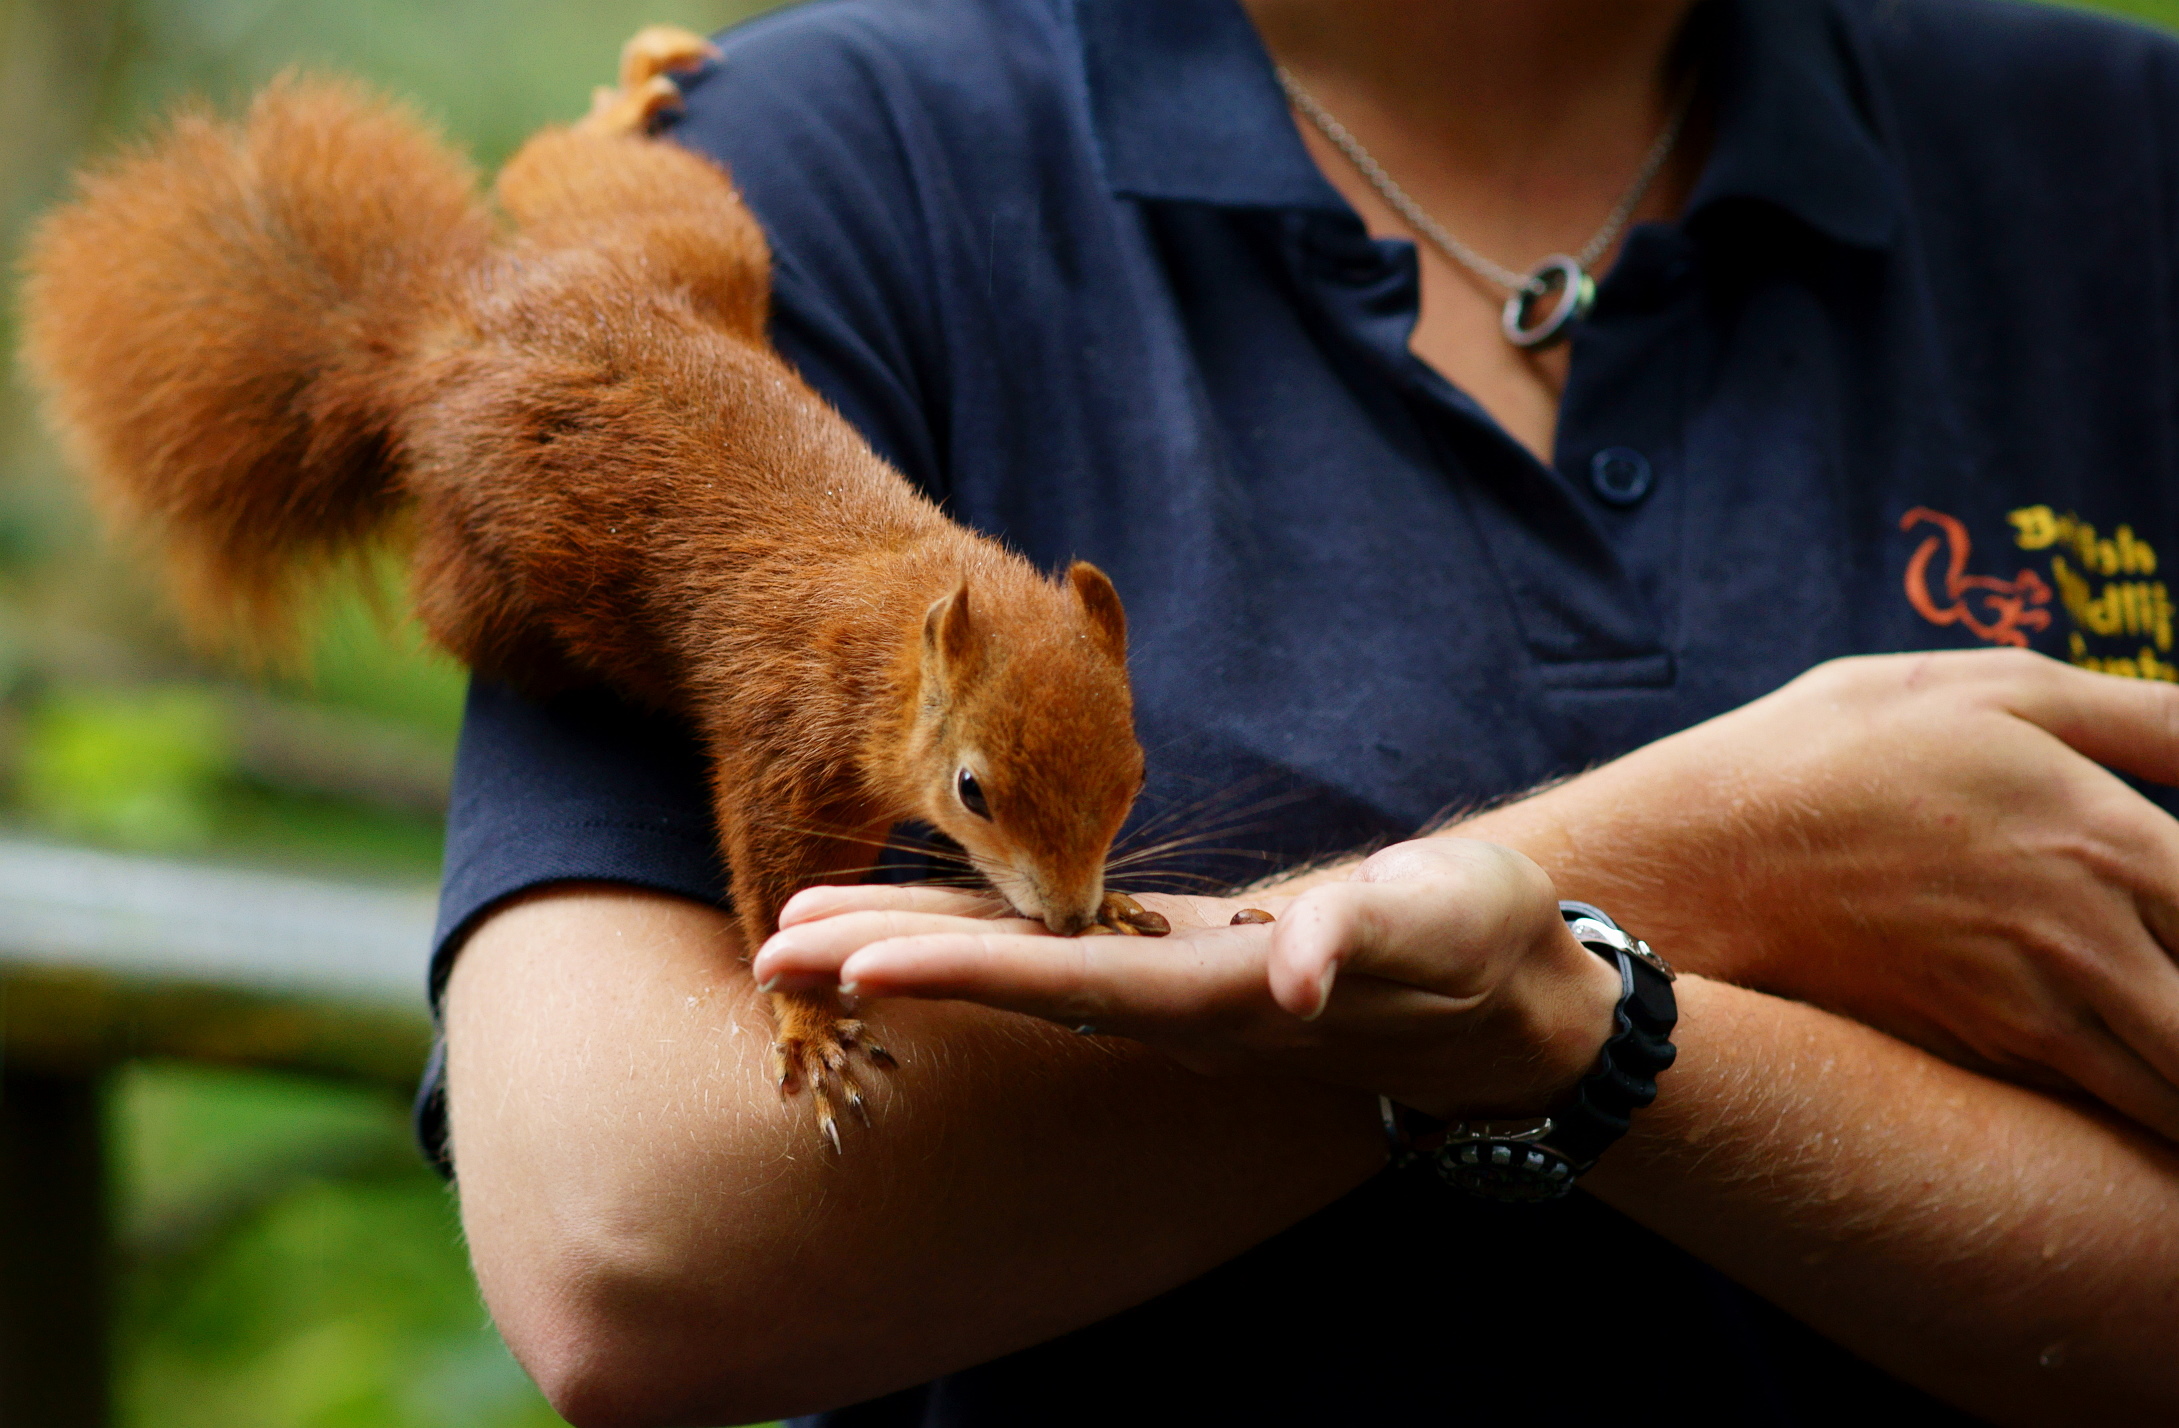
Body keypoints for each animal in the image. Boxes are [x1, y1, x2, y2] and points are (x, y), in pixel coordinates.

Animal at [25, 27, 1150, 1151]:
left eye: (1135, 771)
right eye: (972, 791)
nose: (1067, 916)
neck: (887, 617)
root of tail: (444, 341)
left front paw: (1120, 906)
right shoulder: (785, 733)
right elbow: (779, 889)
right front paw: (809, 1021)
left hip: (676, 244)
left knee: (571, 176)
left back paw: (623, 104)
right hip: (504, 577)